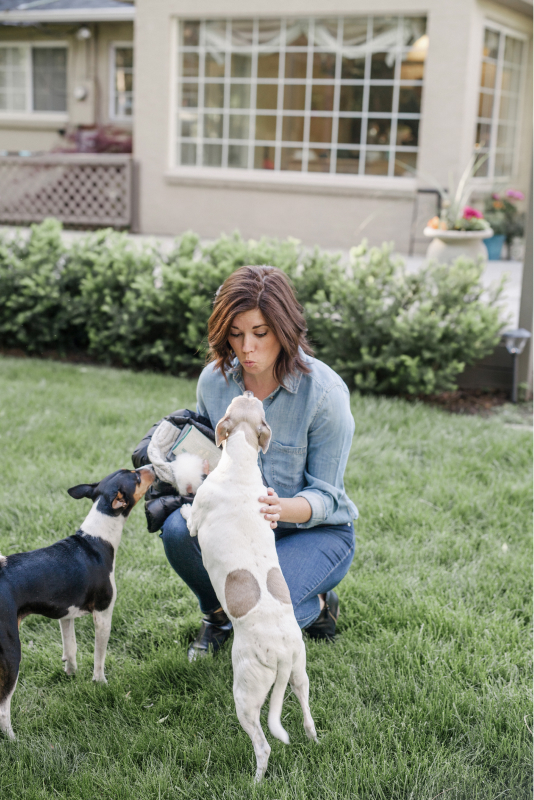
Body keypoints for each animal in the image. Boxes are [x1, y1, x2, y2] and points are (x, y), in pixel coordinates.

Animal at [0, 466, 155, 740]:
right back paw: (12, 739)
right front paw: (100, 683)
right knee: (3, 708)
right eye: (136, 477)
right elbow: (99, 657)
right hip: (11, 653)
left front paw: (71, 673)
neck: (97, 538)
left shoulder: (65, 614)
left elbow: (70, 647)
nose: (151, 467)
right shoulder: (103, 615)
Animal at [182, 392, 320, 780]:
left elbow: (189, 515)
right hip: (300, 673)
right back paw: (314, 741)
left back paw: (256, 781)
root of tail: (282, 653)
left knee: (263, 745)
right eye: (253, 405)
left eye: (233, 405)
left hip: (246, 693)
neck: (242, 464)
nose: (247, 392)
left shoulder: (197, 518)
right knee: (307, 715)